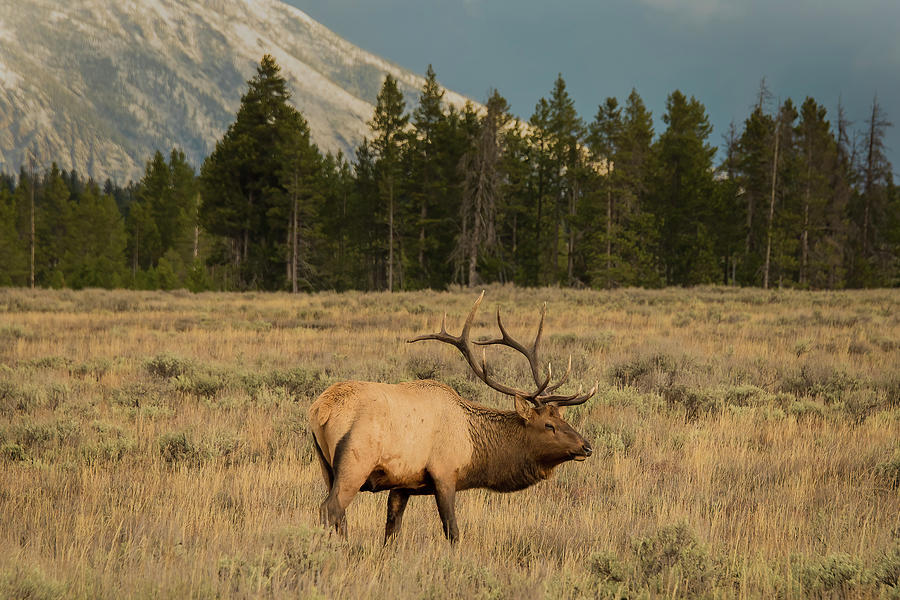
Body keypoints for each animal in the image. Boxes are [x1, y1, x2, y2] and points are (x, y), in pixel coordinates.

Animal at [310, 292, 596, 544]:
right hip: (355, 462)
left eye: (563, 419)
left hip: (326, 467)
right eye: (549, 425)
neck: (474, 450)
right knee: (329, 509)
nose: (586, 447)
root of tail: (321, 410)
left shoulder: (403, 483)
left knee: (340, 517)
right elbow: (453, 531)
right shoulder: (445, 473)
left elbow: (392, 531)